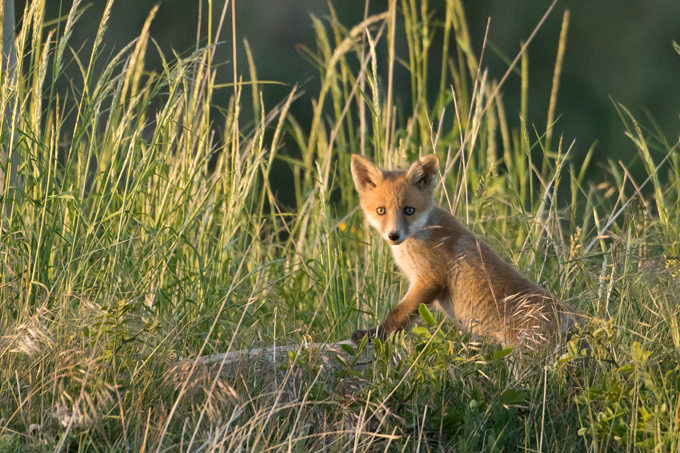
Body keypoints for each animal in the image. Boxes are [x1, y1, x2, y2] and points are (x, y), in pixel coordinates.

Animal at [350, 153, 581, 350]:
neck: (424, 232)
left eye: (409, 210)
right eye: (381, 211)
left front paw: (374, 335)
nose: (394, 235)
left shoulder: (429, 280)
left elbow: (397, 314)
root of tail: (569, 316)